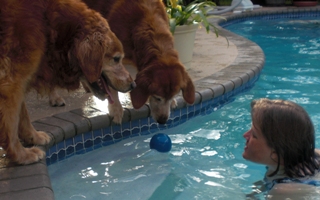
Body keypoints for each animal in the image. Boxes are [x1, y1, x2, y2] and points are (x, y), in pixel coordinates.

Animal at [0, 0, 135, 165]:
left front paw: (34, 137)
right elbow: (11, 125)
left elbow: (23, 114)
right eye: (116, 59)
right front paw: (21, 155)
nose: (133, 84)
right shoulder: (11, 81)